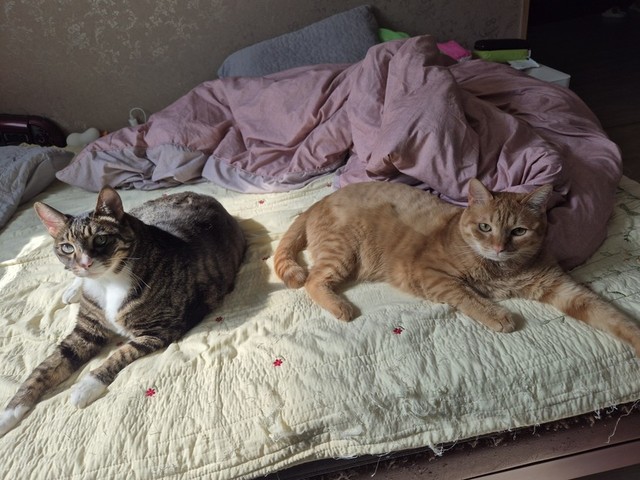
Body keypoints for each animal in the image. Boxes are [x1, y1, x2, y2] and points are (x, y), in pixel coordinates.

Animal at [0, 187, 246, 436]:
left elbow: (121, 353)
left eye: (101, 239)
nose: (85, 264)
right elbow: (46, 367)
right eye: (67, 247)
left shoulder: (160, 329)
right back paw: (72, 291)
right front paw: (9, 413)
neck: (107, 283)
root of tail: (196, 193)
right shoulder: (86, 331)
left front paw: (86, 386)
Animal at [274, 179, 640, 356]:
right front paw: (498, 315)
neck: (501, 271)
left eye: (518, 231)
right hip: (342, 253)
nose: (499, 247)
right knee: (313, 281)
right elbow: (469, 296)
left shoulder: (561, 287)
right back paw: (341, 307)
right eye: (485, 227)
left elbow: (608, 314)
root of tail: (316, 202)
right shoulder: (431, 274)